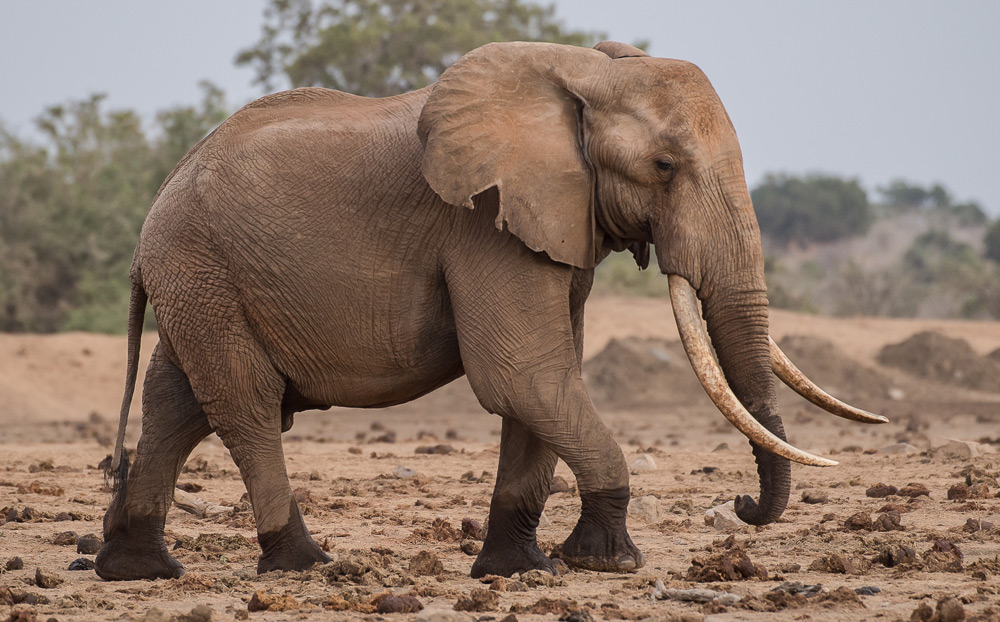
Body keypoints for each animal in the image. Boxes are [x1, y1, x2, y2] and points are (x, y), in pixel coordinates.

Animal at [94, 41, 884, 584]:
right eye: (664, 168)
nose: (743, 507)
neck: (585, 75)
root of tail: (148, 221)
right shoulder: (481, 222)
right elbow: (524, 374)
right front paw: (609, 562)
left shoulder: (553, 222)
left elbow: (545, 379)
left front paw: (522, 568)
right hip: (203, 269)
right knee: (247, 405)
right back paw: (304, 564)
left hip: (202, 280)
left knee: (177, 401)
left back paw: (137, 569)